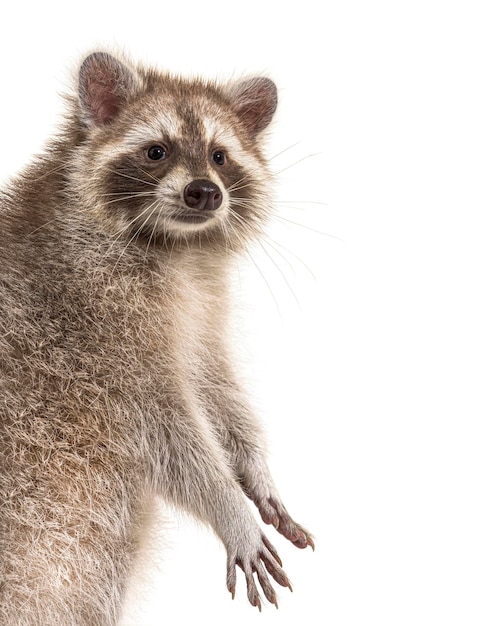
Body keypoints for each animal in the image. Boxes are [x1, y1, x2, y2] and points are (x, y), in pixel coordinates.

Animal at [0, 51, 312, 620]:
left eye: (219, 156)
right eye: (155, 151)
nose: (204, 193)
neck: (178, 247)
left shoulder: (202, 311)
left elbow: (215, 387)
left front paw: (256, 469)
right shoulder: (93, 326)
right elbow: (168, 428)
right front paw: (228, 505)